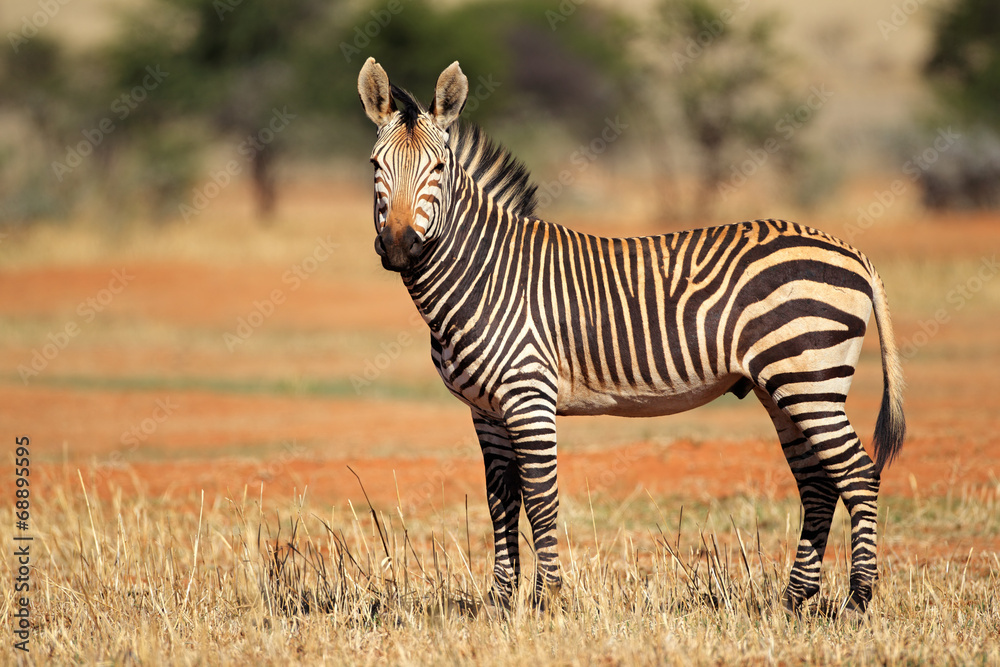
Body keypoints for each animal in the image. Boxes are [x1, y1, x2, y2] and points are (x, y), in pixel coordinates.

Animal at [357, 57, 905, 616]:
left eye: (438, 169)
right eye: (375, 166)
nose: (399, 247)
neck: (484, 274)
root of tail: (850, 250)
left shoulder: (528, 396)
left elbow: (541, 497)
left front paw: (548, 599)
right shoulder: (484, 410)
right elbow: (501, 501)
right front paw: (501, 601)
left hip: (809, 379)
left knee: (857, 473)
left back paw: (859, 598)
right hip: (782, 388)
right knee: (818, 482)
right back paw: (794, 600)